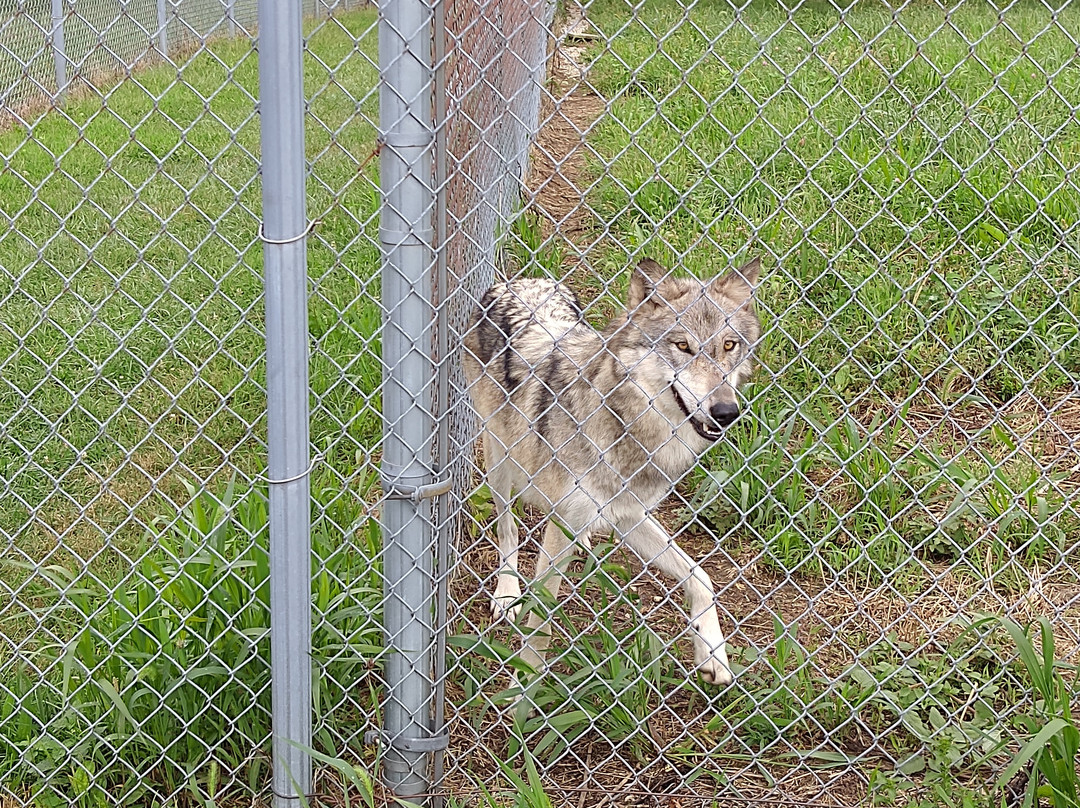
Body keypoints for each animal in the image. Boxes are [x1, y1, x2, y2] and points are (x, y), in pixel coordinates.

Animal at [462, 256, 761, 686]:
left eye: (729, 345)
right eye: (682, 346)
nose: (725, 412)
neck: (628, 428)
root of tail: (520, 282)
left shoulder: (630, 515)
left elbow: (701, 577)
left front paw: (714, 654)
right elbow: (541, 621)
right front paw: (523, 687)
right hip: (499, 459)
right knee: (507, 527)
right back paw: (506, 590)